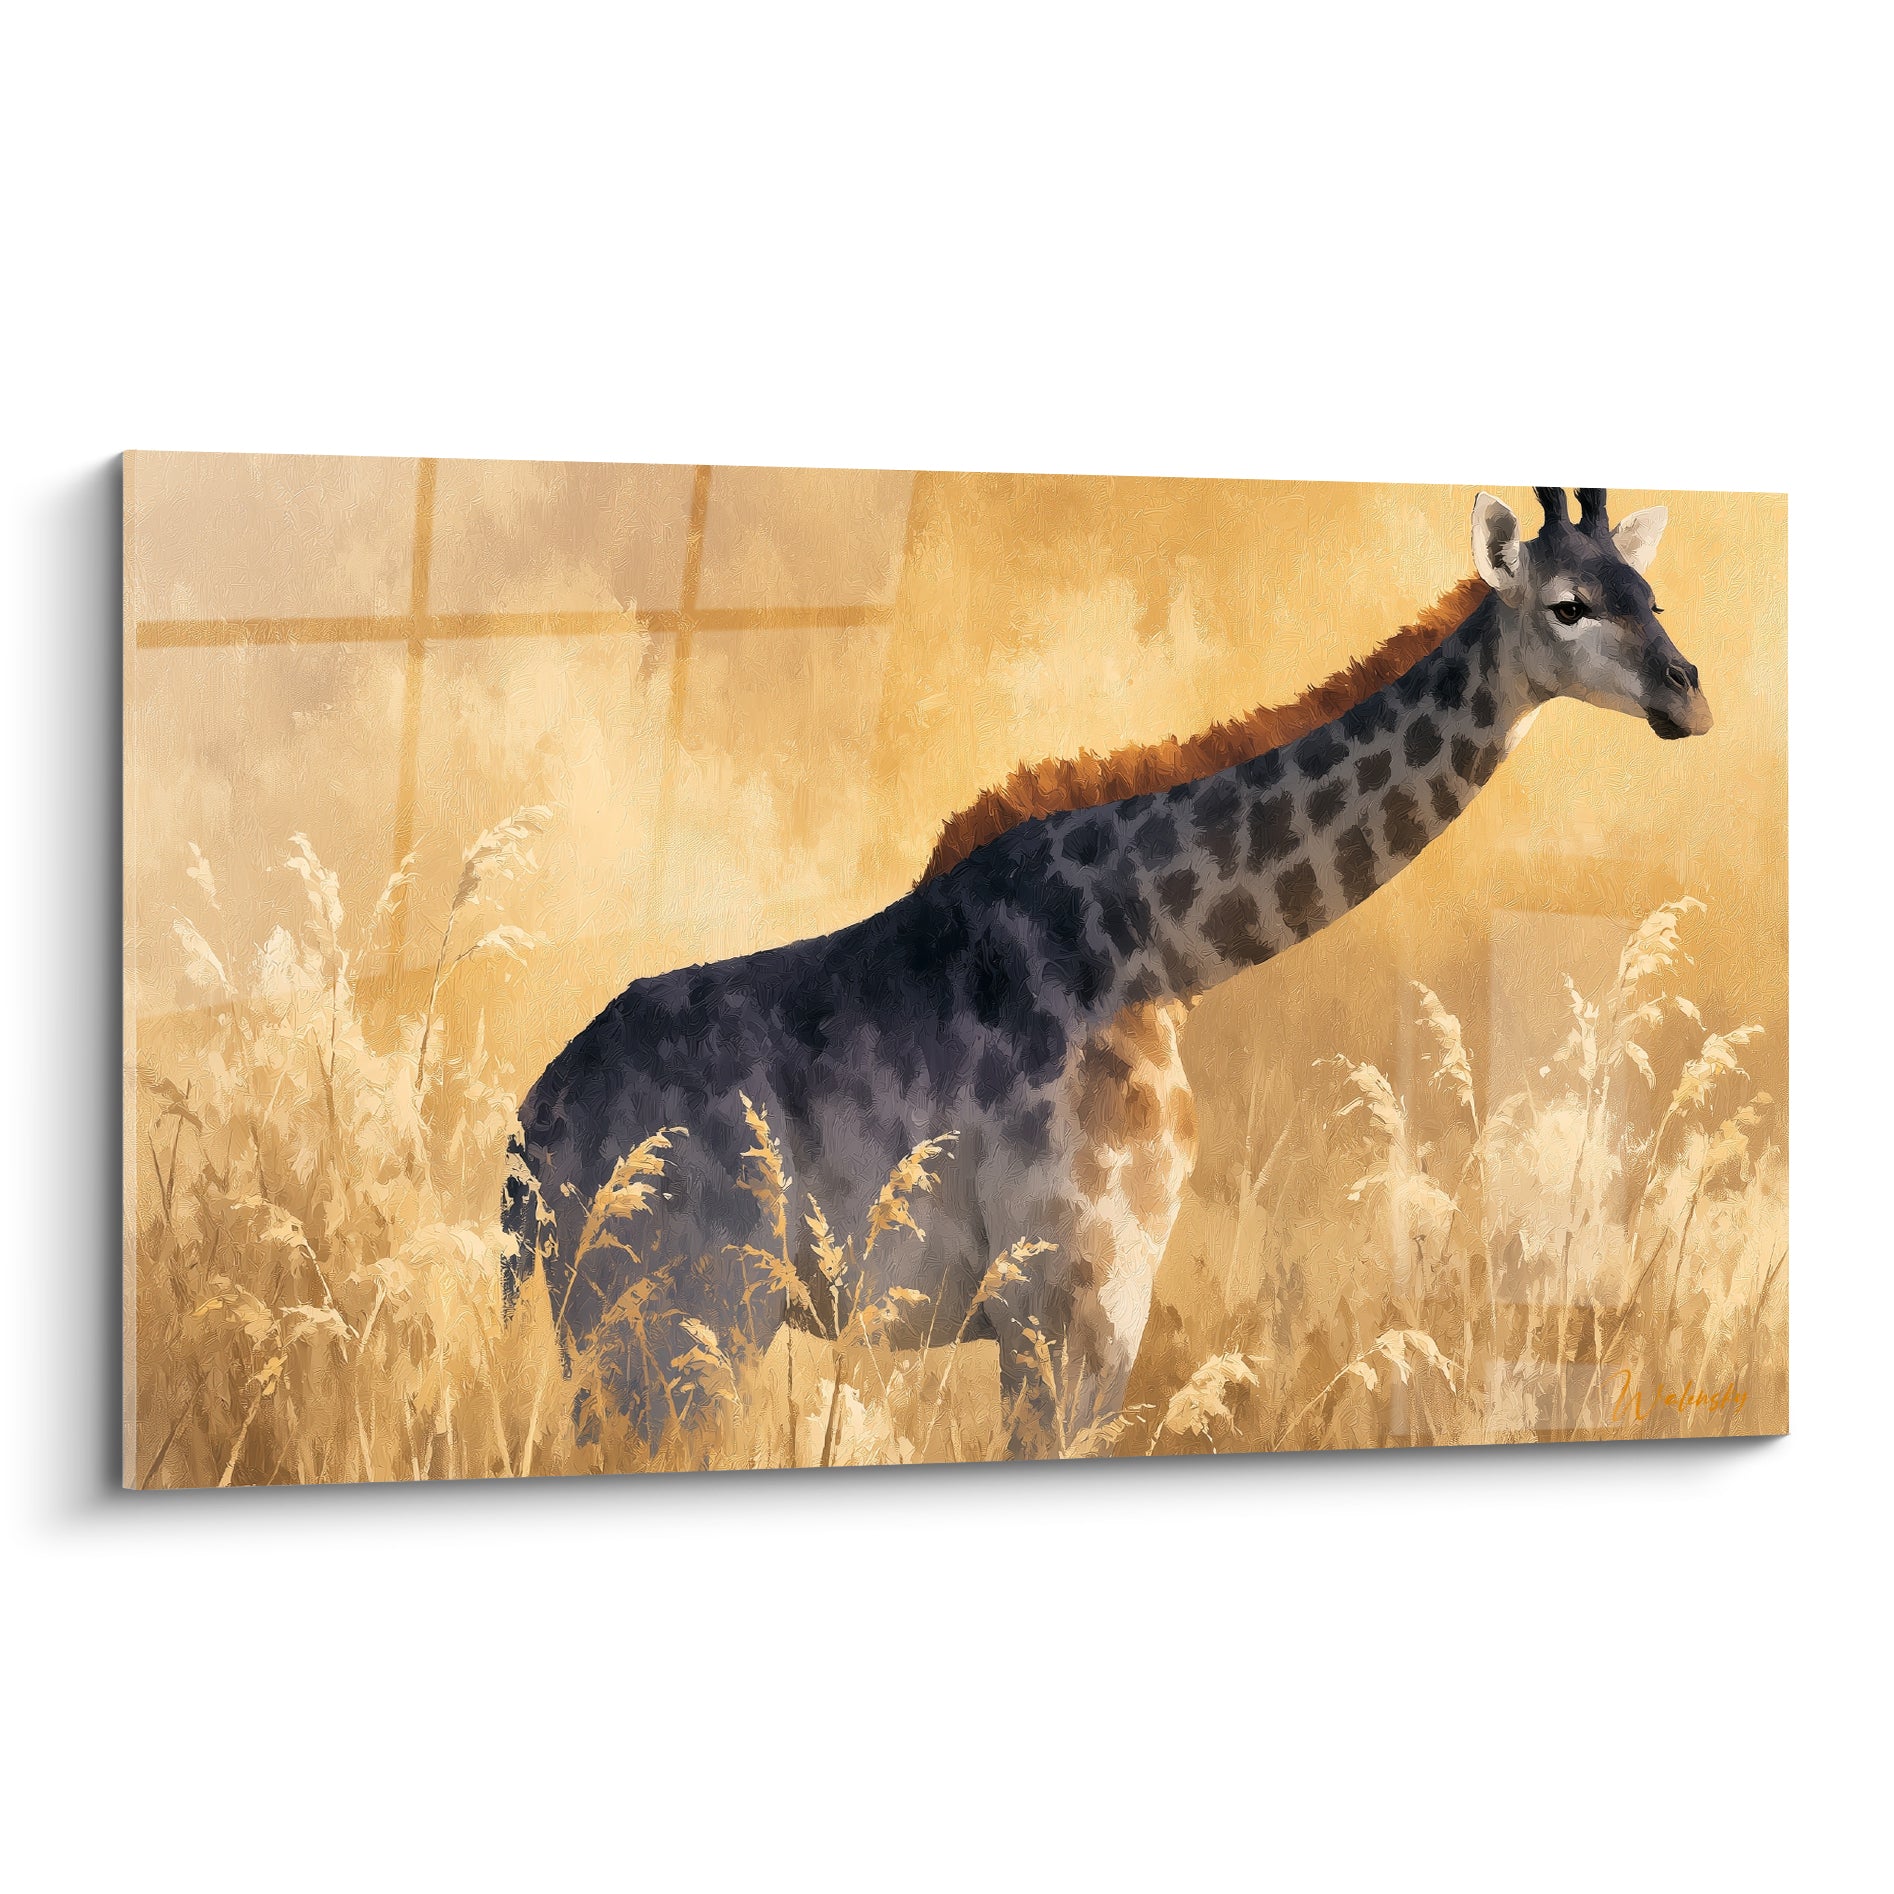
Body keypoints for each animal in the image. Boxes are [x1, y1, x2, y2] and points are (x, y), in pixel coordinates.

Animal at [503, 486, 1710, 1453]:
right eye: (1567, 604)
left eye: (1649, 592)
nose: (1686, 695)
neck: (1155, 941)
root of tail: (526, 1136)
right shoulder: (1069, 1294)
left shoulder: (1079, 1303)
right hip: (675, 1320)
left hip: (634, 1331)